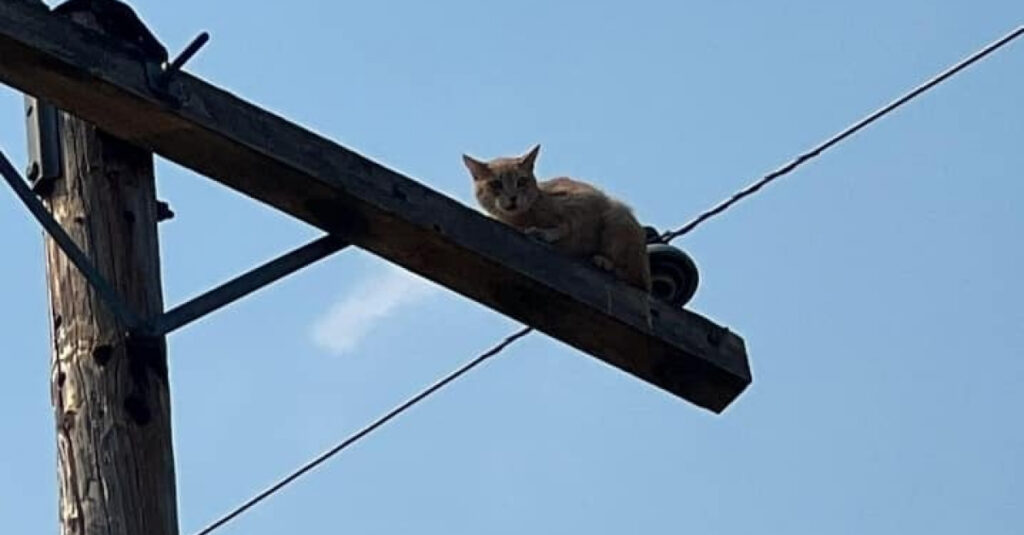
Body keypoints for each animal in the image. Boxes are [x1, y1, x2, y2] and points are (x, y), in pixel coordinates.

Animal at [462, 143, 647, 289]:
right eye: (496, 184)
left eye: (521, 181)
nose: (513, 197)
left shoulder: (579, 204)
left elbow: (565, 226)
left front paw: (543, 232)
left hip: (618, 216)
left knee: (634, 277)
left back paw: (606, 262)